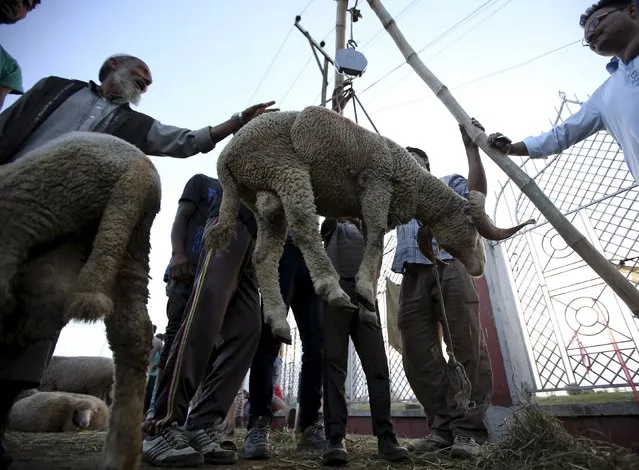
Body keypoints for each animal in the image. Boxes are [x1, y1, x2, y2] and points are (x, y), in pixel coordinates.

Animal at [205, 105, 536, 346]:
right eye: (474, 231)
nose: (479, 269)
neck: (416, 184)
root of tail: (226, 158)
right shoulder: (376, 182)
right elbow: (376, 238)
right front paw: (362, 290)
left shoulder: (370, 207)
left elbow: (373, 248)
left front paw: (367, 308)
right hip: (284, 168)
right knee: (303, 228)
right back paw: (332, 288)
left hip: (263, 199)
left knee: (264, 257)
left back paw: (277, 321)